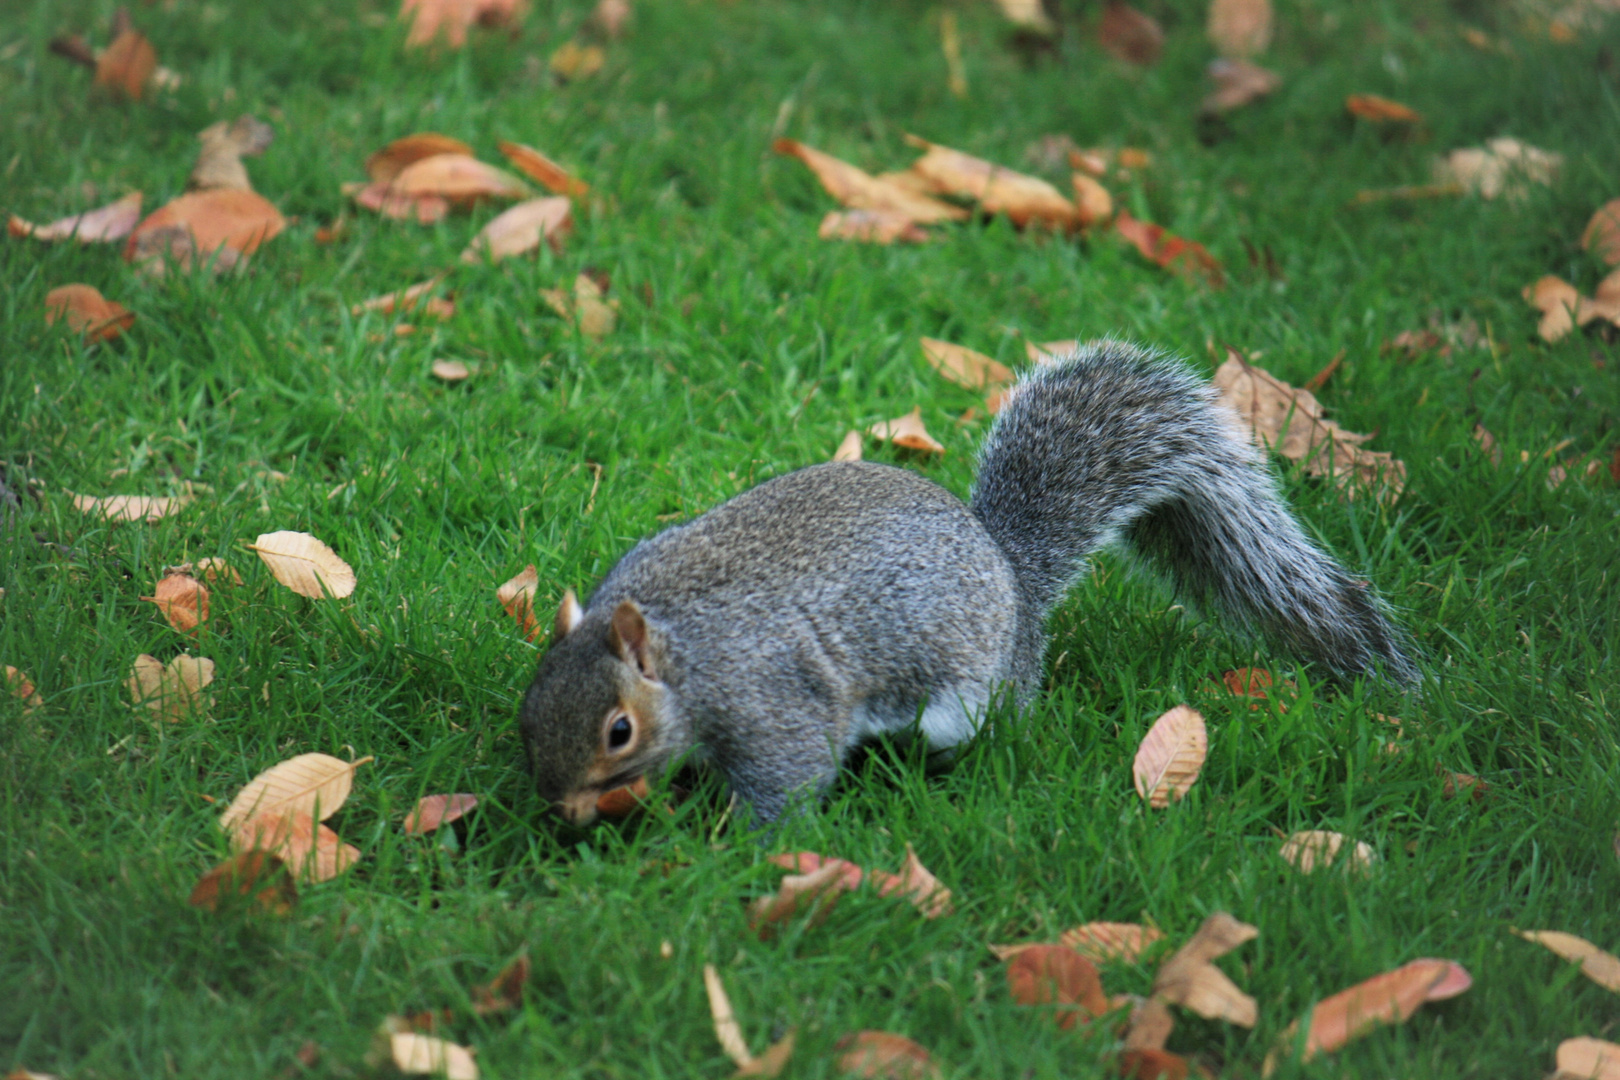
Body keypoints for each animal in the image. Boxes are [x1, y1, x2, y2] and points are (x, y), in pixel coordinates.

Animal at [518, 341, 1419, 822]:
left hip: (970, 696)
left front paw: (730, 845)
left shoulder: (769, 699)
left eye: (618, 732)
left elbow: (788, 777)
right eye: (530, 703)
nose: (559, 807)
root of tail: (1010, 571)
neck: (680, 645)